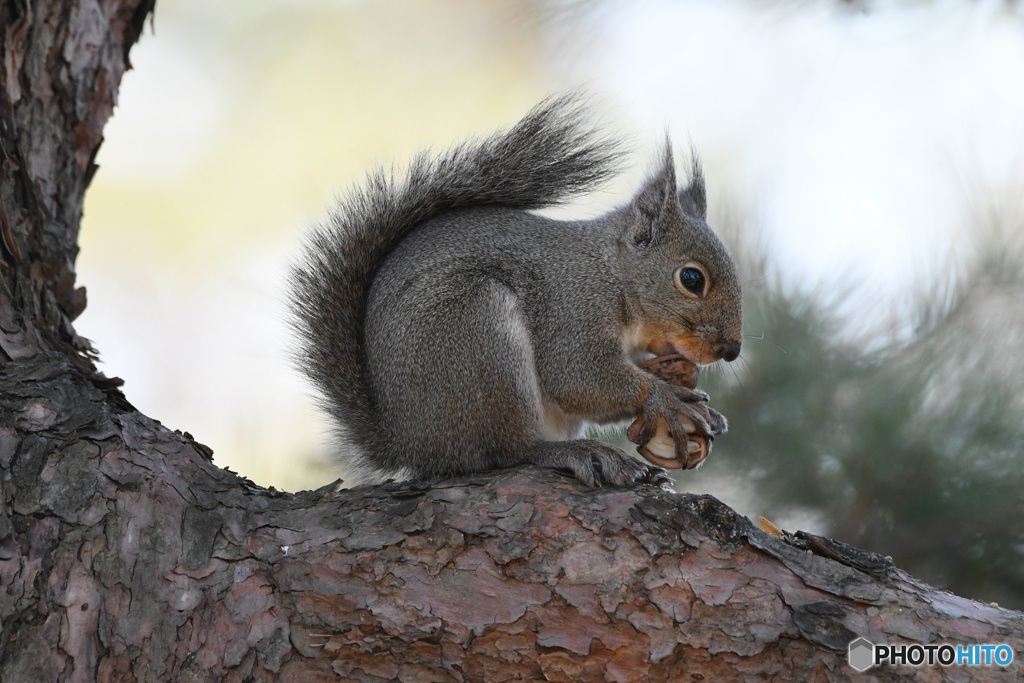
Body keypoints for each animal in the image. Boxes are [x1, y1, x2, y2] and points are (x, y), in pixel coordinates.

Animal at [290, 97, 745, 491]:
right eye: (691, 279)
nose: (732, 350)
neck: (612, 275)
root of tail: (408, 444)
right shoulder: (572, 307)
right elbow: (578, 377)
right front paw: (666, 398)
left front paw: (706, 409)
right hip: (476, 333)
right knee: (506, 450)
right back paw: (576, 453)